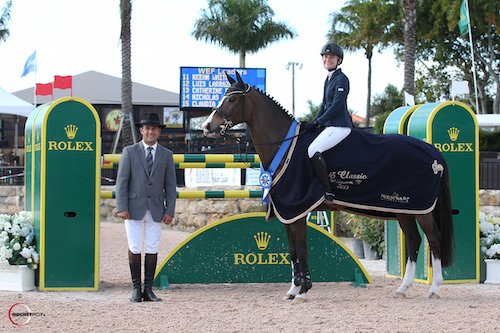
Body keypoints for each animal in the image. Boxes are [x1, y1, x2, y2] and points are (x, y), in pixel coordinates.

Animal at [201, 72, 456, 300]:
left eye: (232, 100)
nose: (206, 126)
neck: (287, 146)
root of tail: (433, 152)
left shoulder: (298, 209)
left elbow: (302, 249)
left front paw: (304, 291)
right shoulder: (288, 212)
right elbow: (293, 251)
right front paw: (293, 290)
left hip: (421, 209)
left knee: (434, 239)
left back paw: (434, 289)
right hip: (403, 209)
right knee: (414, 241)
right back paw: (403, 288)